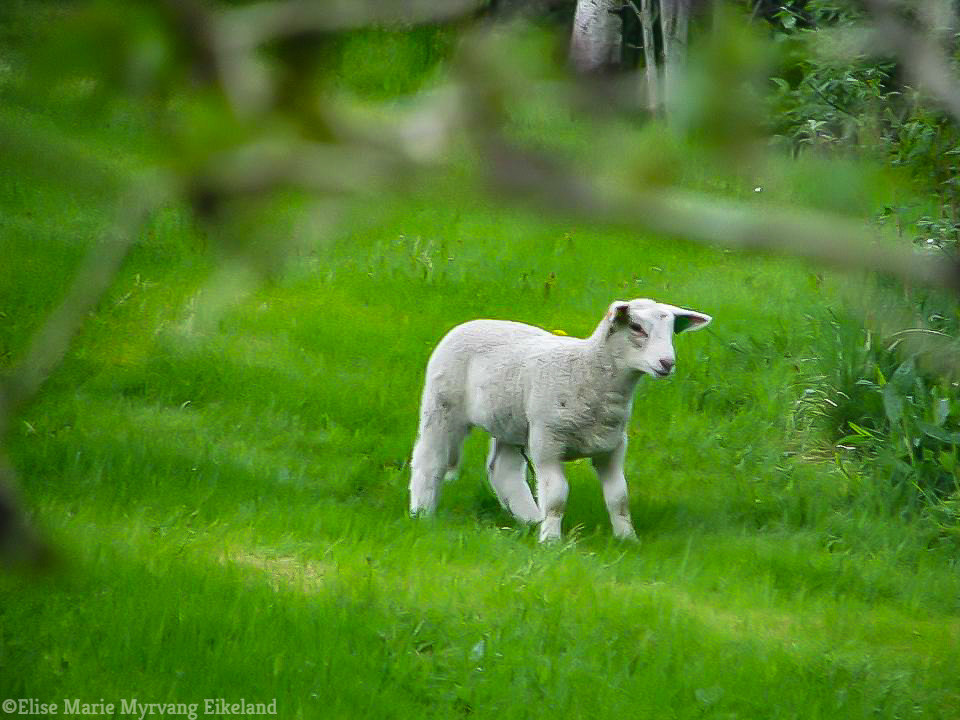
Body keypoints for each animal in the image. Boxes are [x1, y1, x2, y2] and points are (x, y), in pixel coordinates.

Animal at [410, 298, 712, 542]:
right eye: (636, 327)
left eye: (671, 330)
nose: (667, 363)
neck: (587, 371)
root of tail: (474, 322)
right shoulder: (548, 442)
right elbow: (556, 496)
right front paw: (551, 541)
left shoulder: (612, 446)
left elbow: (619, 498)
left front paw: (627, 539)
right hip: (442, 405)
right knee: (430, 460)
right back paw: (422, 513)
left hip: (512, 420)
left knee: (503, 470)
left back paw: (531, 519)